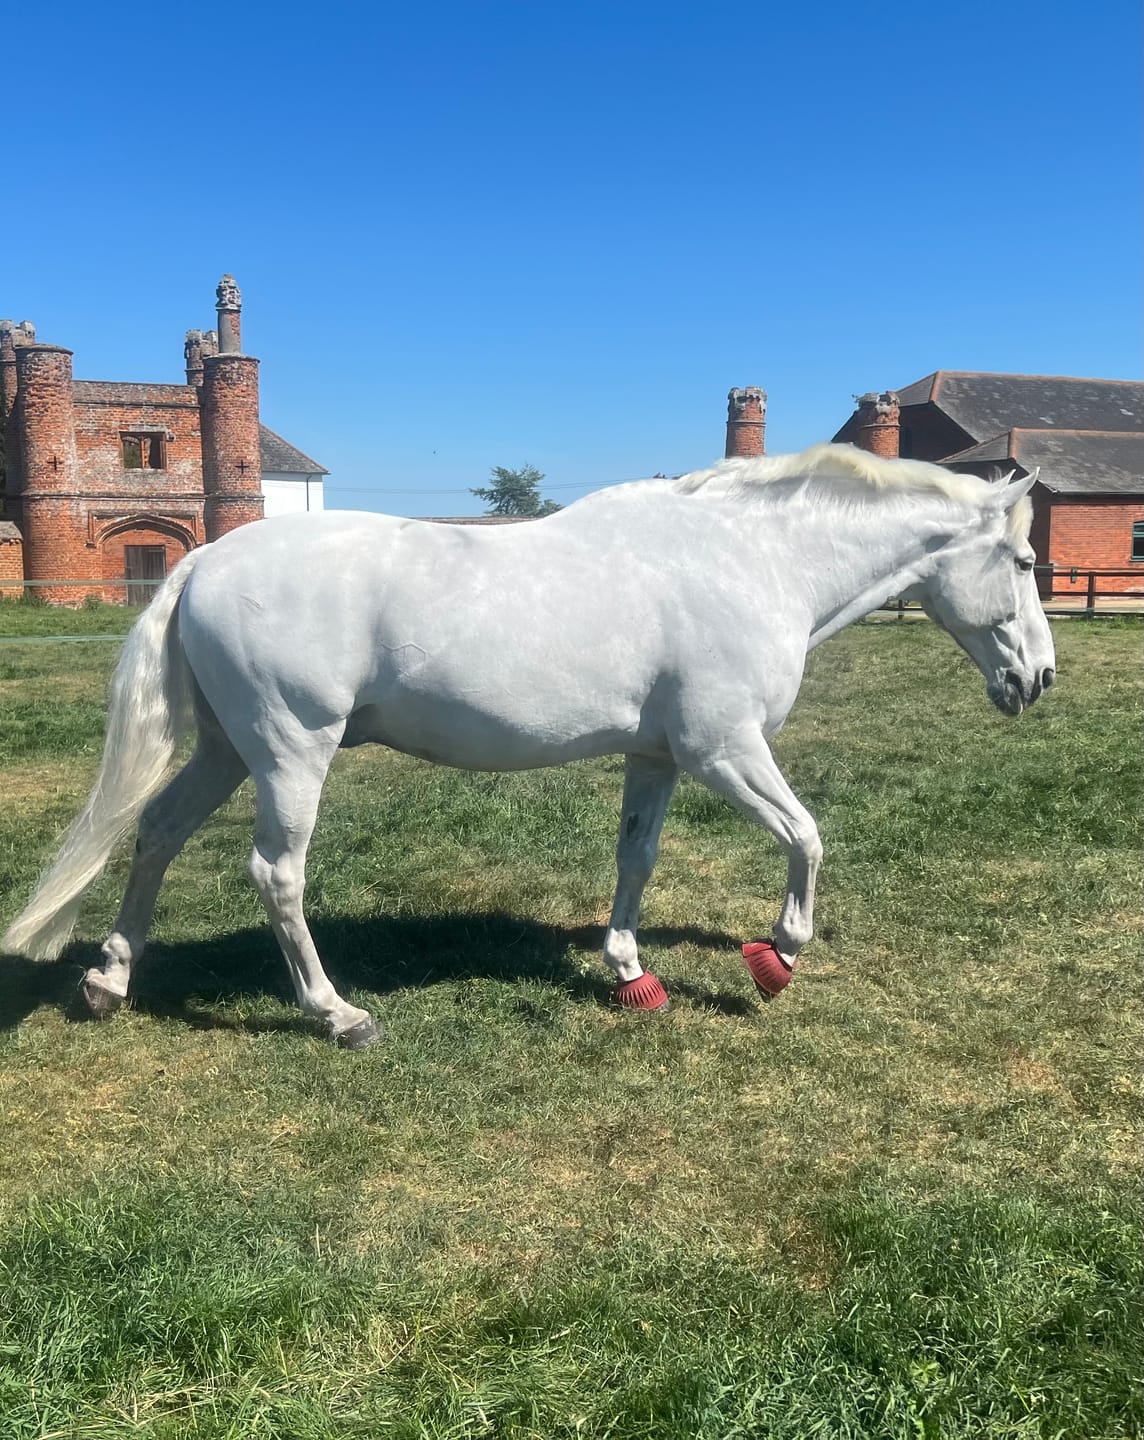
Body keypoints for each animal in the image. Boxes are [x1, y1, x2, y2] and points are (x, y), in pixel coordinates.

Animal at [2, 444, 1055, 1047]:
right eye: (1022, 559)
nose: (1038, 680)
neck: (750, 561)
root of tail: (202, 562)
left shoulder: (658, 757)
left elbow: (637, 858)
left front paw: (632, 972)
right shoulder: (725, 750)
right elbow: (806, 837)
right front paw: (778, 957)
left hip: (228, 750)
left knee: (157, 833)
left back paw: (108, 980)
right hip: (291, 753)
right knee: (276, 874)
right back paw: (337, 1013)